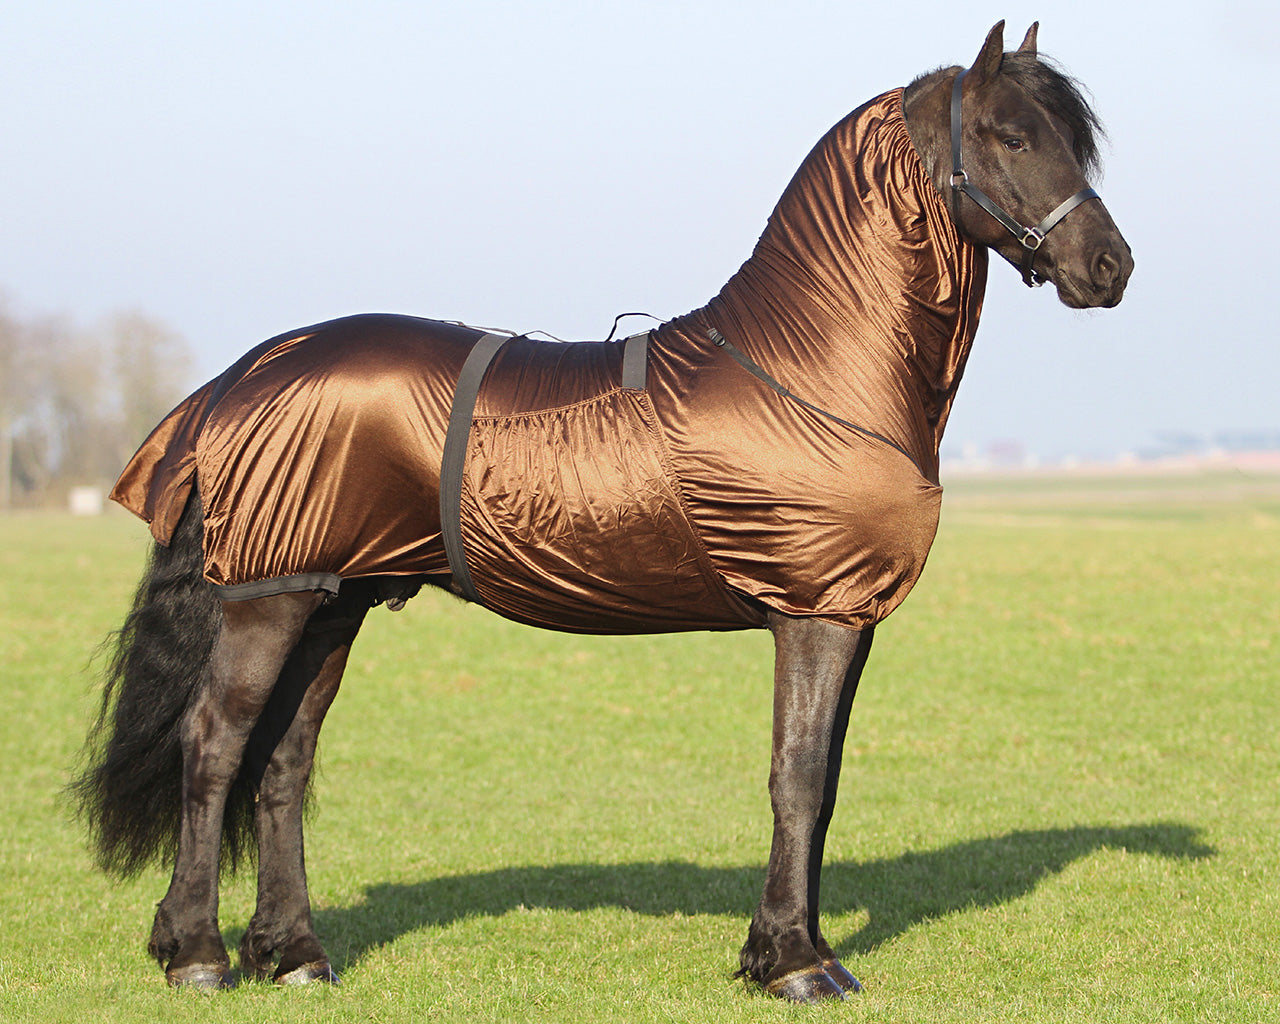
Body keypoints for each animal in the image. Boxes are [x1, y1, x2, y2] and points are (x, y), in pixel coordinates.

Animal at [72, 22, 1131, 1003]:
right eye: (1009, 134)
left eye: (1072, 140)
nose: (1110, 267)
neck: (812, 368)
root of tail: (244, 374)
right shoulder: (816, 612)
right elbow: (796, 776)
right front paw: (793, 963)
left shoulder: (849, 615)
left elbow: (824, 783)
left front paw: (794, 949)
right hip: (270, 598)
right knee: (216, 746)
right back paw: (197, 955)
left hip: (334, 599)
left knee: (284, 760)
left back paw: (293, 954)